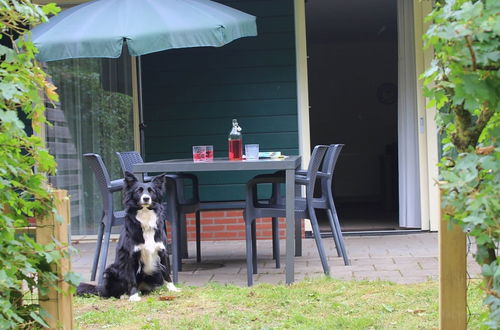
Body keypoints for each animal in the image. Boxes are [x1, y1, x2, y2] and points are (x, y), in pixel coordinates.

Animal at [77, 171, 179, 300]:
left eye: (151, 191)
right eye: (138, 191)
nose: (146, 198)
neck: (145, 218)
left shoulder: (162, 251)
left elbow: (167, 273)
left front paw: (173, 289)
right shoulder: (130, 256)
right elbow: (131, 279)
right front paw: (134, 296)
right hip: (111, 270)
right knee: (112, 292)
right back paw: (124, 295)